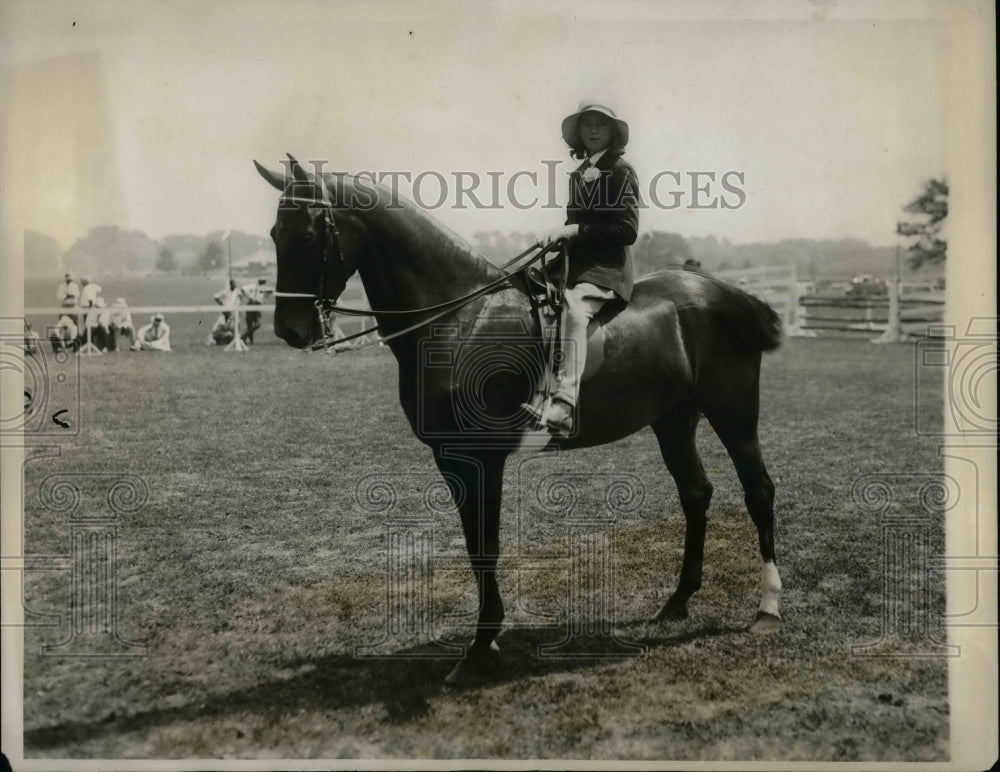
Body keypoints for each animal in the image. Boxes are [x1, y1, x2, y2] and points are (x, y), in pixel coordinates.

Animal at [254, 155, 784, 680]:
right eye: (275, 234)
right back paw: (678, 600)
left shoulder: (481, 458)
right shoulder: (451, 458)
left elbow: (485, 545)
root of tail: (725, 292)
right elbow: (475, 545)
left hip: (733, 412)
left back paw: (767, 609)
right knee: (696, 494)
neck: (461, 319)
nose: (290, 330)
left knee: (758, 491)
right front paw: (484, 638)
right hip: (673, 419)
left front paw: (481, 645)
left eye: (307, 235)